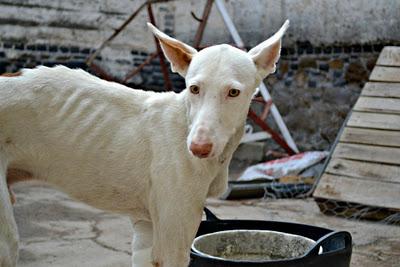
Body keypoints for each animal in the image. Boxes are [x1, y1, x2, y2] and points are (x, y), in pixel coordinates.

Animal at [0, 21, 288, 267]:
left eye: (234, 92)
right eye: (194, 88)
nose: (197, 149)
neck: (185, 120)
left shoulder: (146, 231)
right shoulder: (173, 245)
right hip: (7, 239)